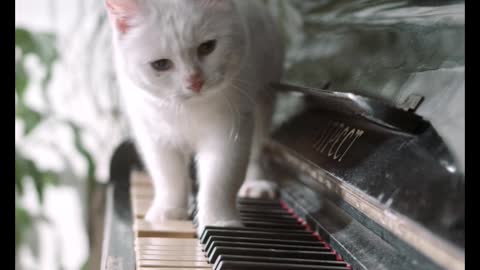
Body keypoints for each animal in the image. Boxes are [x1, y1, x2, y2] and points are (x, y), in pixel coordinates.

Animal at [105, 0, 284, 232]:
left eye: (207, 47)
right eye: (160, 65)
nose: (195, 81)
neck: (187, 109)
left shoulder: (228, 132)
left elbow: (220, 180)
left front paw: (219, 222)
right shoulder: (152, 135)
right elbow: (168, 176)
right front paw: (169, 211)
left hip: (264, 99)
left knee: (256, 150)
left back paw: (256, 184)